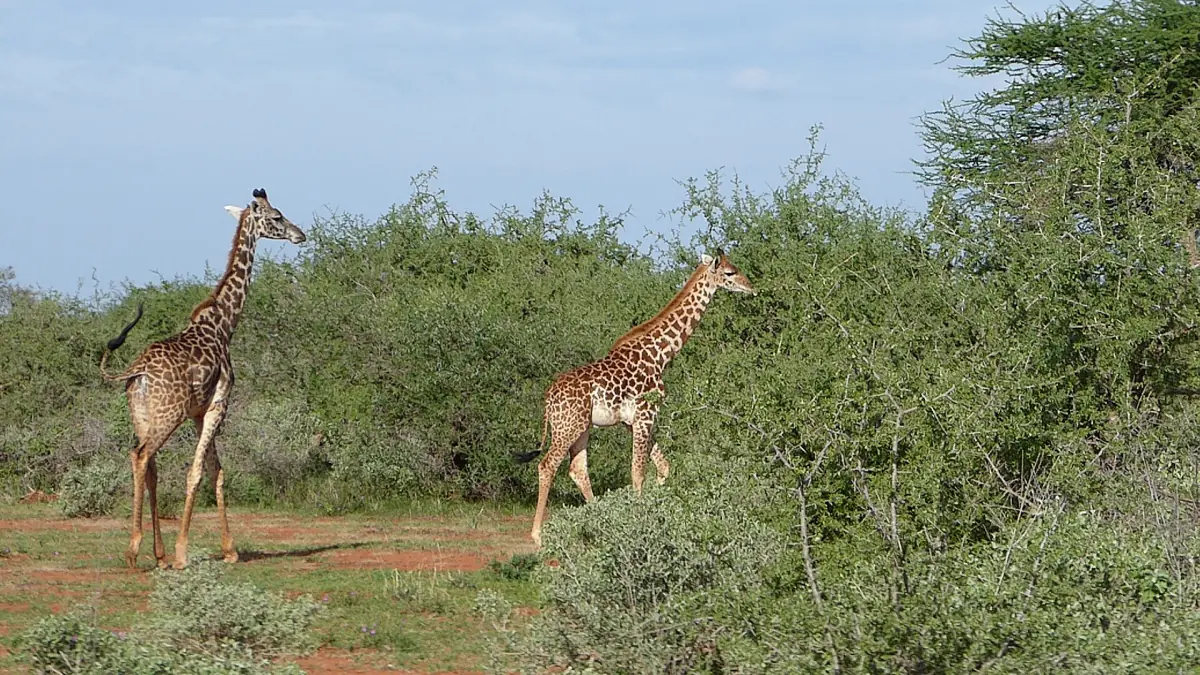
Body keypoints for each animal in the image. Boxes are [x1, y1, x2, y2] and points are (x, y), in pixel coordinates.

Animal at [99, 188, 306, 570]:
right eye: (277, 217)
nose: (301, 235)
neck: (224, 325)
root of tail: (137, 371)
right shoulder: (218, 405)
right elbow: (197, 472)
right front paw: (185, 552)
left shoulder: (198, 412)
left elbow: (215, 470)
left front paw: (229, 549)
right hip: (168, 415)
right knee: (141, 456)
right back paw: (136, 549)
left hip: (142, 414)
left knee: (149, 466)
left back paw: (157, 554)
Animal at [520, 250, 755, 547]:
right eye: (729, 272)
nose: (751, 287)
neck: (661, 355)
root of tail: (548, 398)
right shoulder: (645, 415)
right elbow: (638, 472)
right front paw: (639, 522)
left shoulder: (635, 421)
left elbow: (663, 467)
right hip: (567, 427)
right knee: (547, 465)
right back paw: (538, 536)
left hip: (582, 428)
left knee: (578, 469)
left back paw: (597, 521)